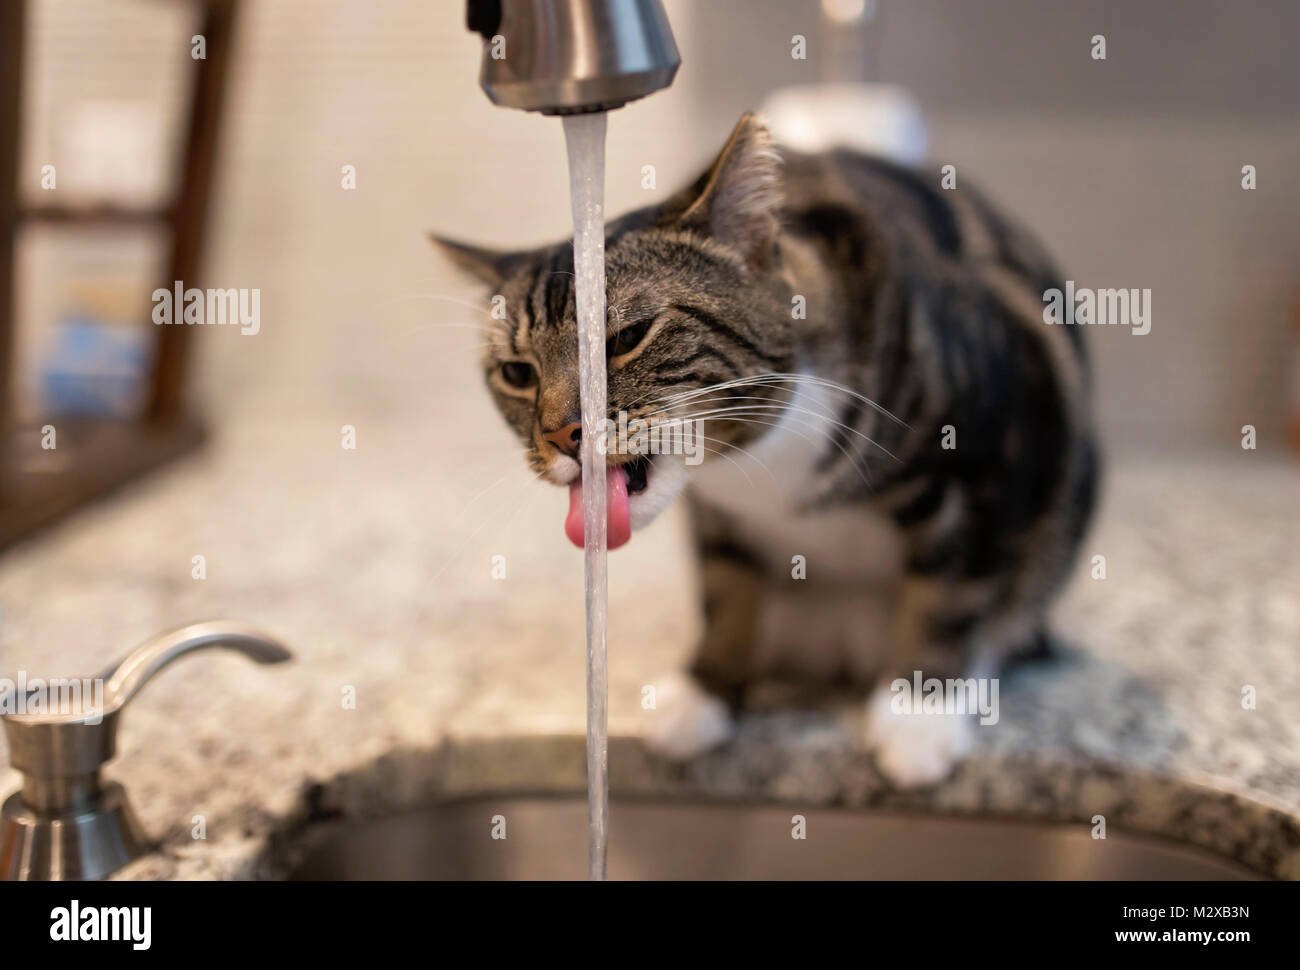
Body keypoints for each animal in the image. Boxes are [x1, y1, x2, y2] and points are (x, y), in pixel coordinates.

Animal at [436, 111, 1097, 785]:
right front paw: (706, 689)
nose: (559, 434)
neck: (766, 466)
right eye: (516, 373)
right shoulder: (718, 518)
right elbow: (727, 590)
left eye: (625, 337)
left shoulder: (983, 459)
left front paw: (920, 713)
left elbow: (949, 593)